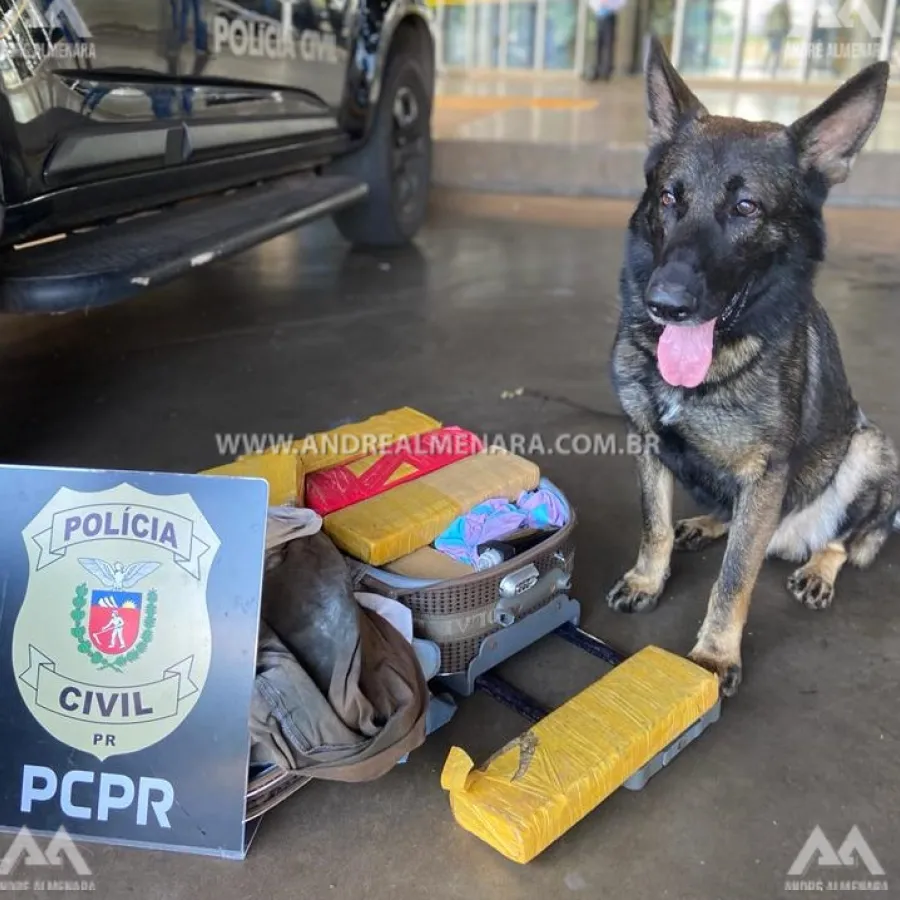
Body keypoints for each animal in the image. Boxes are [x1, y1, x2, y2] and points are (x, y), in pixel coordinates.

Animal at [608, 38, 896, 700]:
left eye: (745, 207)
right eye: (670, 197)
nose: (665, 303)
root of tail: (790, 536)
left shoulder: (767, 477)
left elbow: (736, 575)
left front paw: (715, 655)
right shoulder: (648, 444)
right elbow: (653, 525)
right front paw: (648, 579)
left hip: (870, 447)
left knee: (842, 539)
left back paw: (818, 566)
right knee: (735, 521)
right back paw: (709, 523)